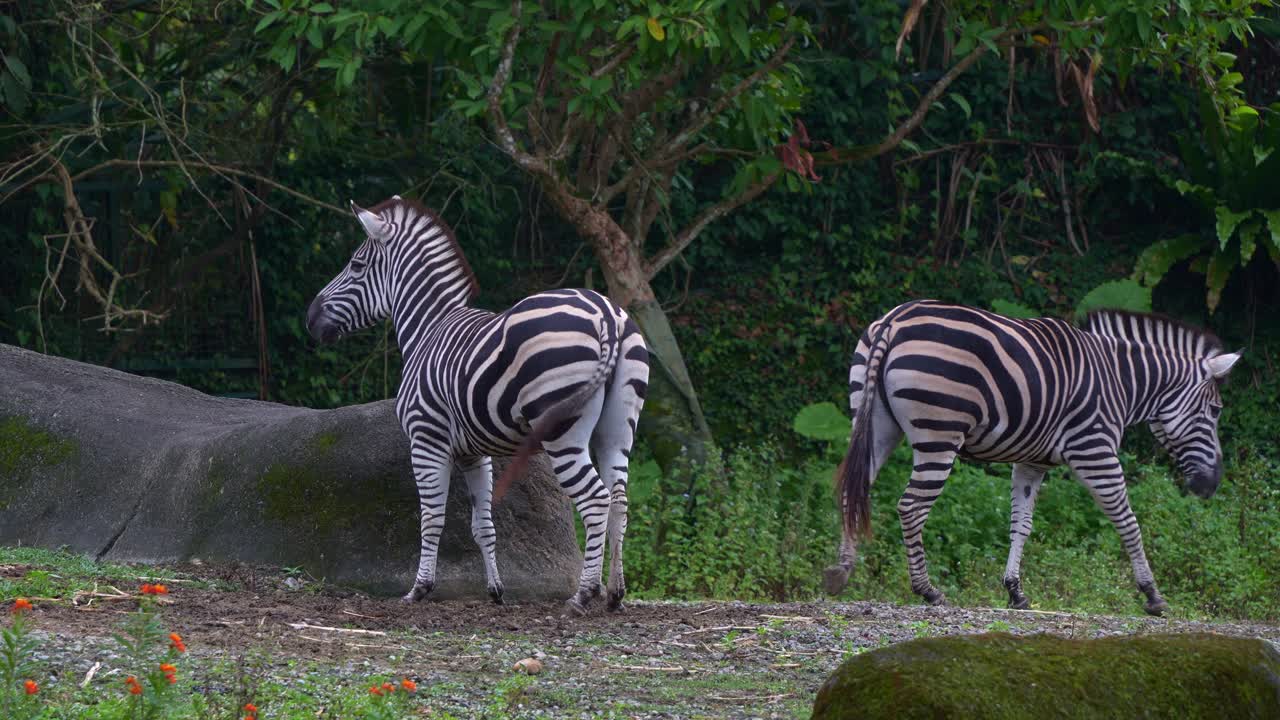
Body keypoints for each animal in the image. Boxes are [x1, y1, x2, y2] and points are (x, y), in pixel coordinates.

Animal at [306, 195, 649, 615]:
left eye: (356, 265)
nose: (309, 319)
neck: (428, 327)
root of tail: (606, 314)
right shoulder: (474, 453)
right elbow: (483, 523)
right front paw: (495, 590)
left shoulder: (426, 440)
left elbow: (431, 518)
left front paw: (420, 589)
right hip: (617, 430)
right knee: (619, 500)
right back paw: (615, 594)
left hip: (562, 432)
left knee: (596, 500)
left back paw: (583, 594)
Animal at [822, 300, 1241, 615]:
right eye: (1215, 411)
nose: (1212, 485)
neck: (1122, 381)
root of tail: (894, 321)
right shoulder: (1094, 449)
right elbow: (1128, 521)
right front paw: (1152, 594)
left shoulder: (1032, 461)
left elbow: (1020, 524)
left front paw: (1015, 591)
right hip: (939, 433)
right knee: (911, 506)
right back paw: (927, 590)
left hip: (875, 421)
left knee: (853, 490)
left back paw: (840, 573)